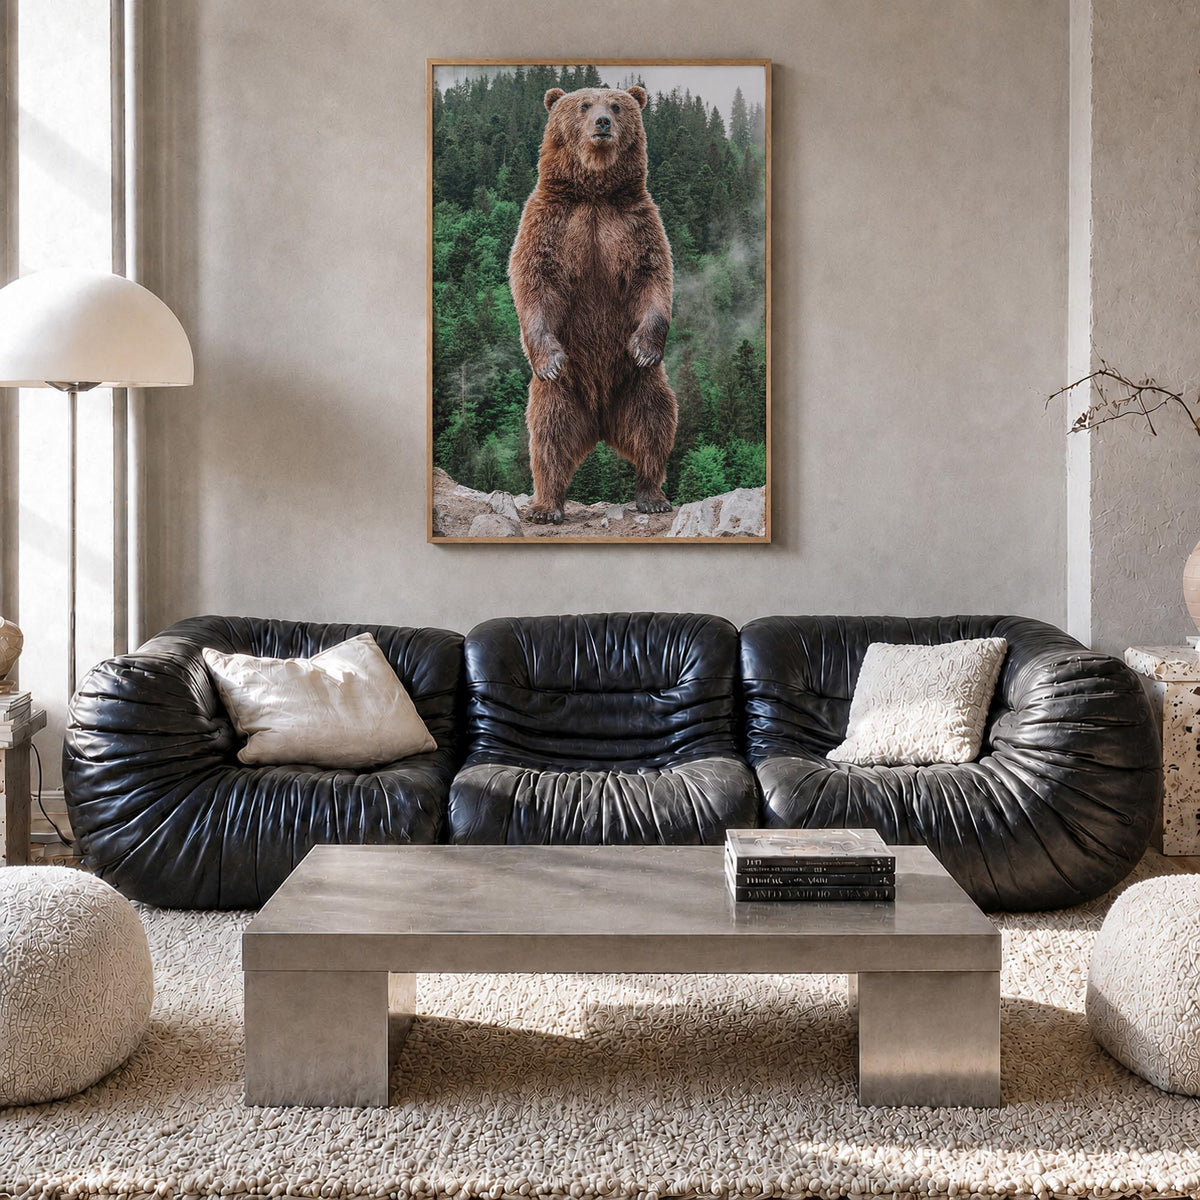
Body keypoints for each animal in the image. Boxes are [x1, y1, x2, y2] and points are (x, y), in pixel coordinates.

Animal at [508, 84, 678, 524]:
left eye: (616, 105)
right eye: (584, 105)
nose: (602, 122)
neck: (595, 193)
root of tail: (600, 422)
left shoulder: (635, 223)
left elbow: (653, 277)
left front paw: (645, 347)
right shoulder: (551, 222)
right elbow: (534, 280)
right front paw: (549, 358)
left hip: (638, 385)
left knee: (655, 423)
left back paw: (652, 495)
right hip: (562, 394)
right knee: (548, 437)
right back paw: (546, 506)